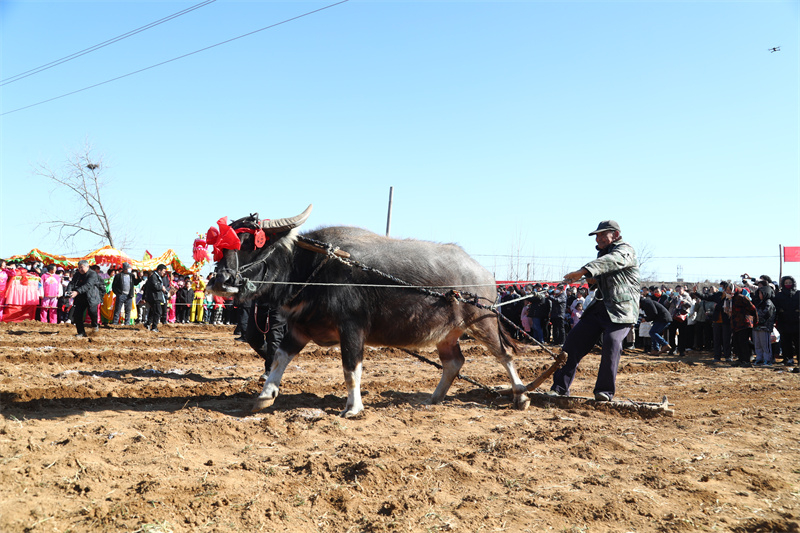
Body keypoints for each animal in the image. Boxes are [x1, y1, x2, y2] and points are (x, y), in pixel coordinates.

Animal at [209, 204, 528, 416]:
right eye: (221, 247)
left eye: (252, 243)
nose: (221, 281)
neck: (312, 268)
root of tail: (484, 274)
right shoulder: (300, 328)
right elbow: (278, 358)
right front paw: (266, 395)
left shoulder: (352, 327)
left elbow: (351, 368)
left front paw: (352, 408)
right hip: (447, 334)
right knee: (454, 363)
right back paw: (433, 399)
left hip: (484, 322)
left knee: (505, 354)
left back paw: (521, 396)